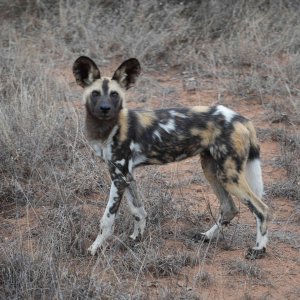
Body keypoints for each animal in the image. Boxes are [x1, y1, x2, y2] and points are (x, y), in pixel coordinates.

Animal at [72, 55, 270, 258]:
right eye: (95, 93)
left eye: (114, 94)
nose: (105, 108)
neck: (109, 127)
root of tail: (241, 119)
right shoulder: (126, 175)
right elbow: (138, 211)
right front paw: (137, 238)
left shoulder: (119, 177)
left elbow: (107, 219)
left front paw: (95, 248)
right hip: (212, 170)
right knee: (229, 208)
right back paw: (207, 236)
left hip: (229, 176)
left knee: (262, 209)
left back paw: (259, 249)